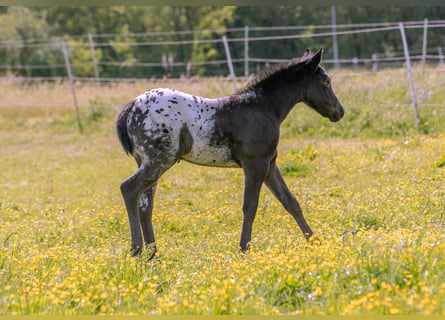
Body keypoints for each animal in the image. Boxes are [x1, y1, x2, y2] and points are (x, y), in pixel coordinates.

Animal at [115, 48, 344, 258]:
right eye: (326, 81)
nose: (339, 112)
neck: (262, 106)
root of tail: (132, 106)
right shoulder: (255, 163)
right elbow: (250, 206)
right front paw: (243, 249)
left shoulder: (270, 164)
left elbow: (290, 202)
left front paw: (315, 241)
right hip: (160, 160)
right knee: (129, 189)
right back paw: (136, 250)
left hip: (147, 162)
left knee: (145, 205)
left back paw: (152, 253)